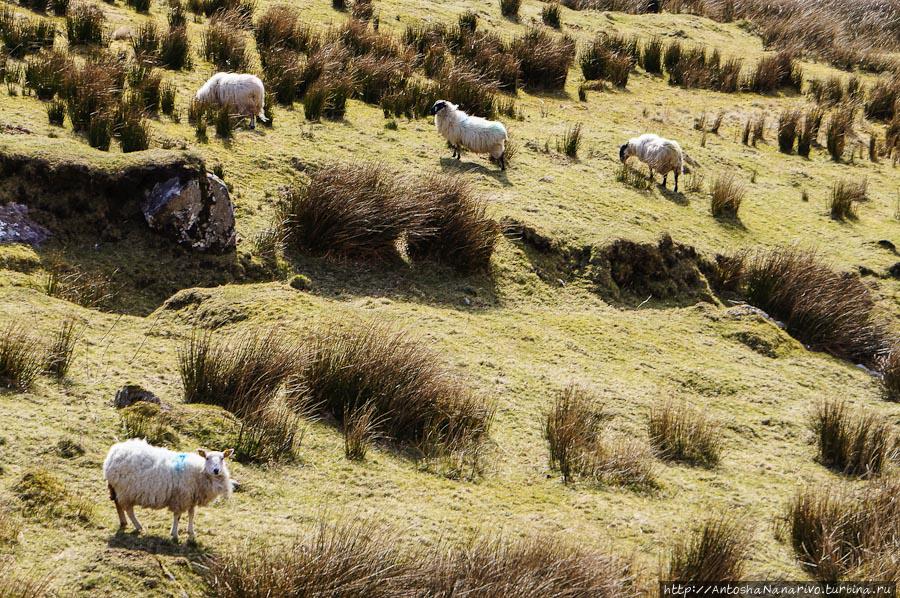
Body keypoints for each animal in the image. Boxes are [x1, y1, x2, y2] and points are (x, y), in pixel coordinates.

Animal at [100, 438, 234, 548]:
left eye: (222, 458)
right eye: (207, 458)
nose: (216, 470)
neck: (199, 472)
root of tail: (112, 455)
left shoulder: (191, 498)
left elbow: (191, 514)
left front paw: (191, 532)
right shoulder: (181, 497)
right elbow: (177, 516)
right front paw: (174, 534)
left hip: (119, 489)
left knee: (118, 505)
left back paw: (124, 522)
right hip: (125, 490)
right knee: (128, 509)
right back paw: (138, 526)